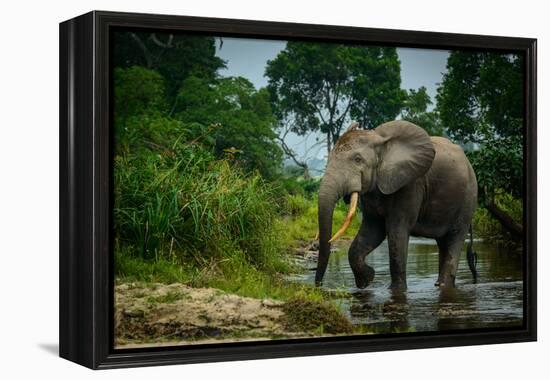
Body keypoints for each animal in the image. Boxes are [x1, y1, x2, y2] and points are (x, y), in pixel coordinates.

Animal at [316, 120, 480, 290]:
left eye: (357, 159)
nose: (318, 286)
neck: (381, 141)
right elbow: (372, 230)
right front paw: (366, 280)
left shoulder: (410, 184)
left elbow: (397, 231)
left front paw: (396, 290)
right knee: (443, 243)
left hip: (469, 197)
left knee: (454, 237)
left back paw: (443, 285)